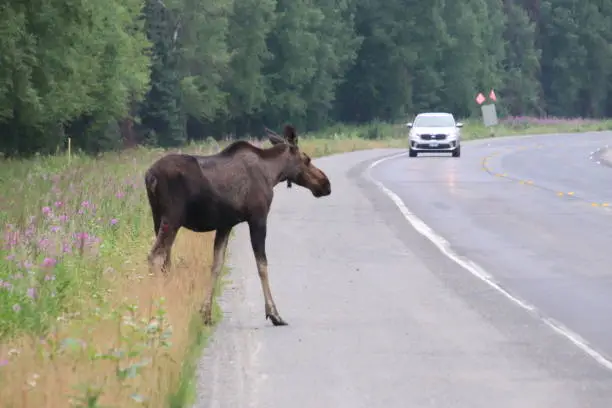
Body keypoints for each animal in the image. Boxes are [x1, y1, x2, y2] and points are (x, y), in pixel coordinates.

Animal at [143, 124, 330, 326]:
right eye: (307, 159)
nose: (326, 184)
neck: (273, 173)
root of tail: (149, 176)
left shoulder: (225, 225)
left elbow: (217, 265)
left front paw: (205, 313)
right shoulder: (258, 217)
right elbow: (262, 265)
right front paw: (274, 313)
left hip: (157, 218)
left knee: (165, 260)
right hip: (172, 218)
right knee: (156, 257)